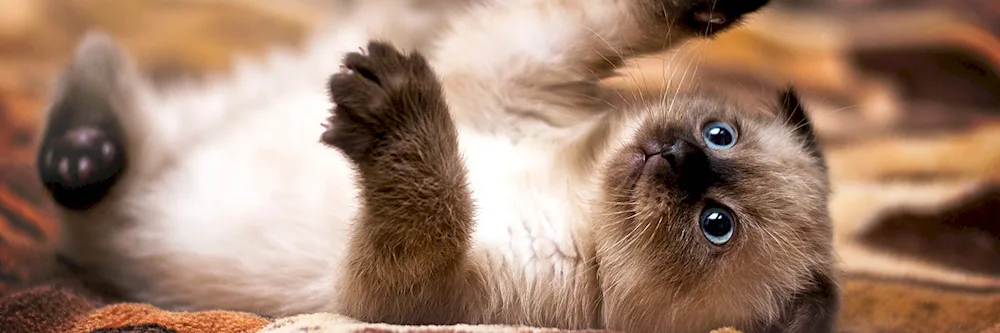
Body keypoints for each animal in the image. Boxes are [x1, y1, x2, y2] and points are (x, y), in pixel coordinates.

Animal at [37, 0, 836, 330]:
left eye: (716, 224)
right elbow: (596, 22)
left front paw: (399, 113)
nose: (677, 154)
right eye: (720, 132)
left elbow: (437, 196)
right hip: (203, 113)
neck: (574, 193)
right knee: (101, 73)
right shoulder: (512, 69)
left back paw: (79, 161)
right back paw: (81, 154)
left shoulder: (396, 297)